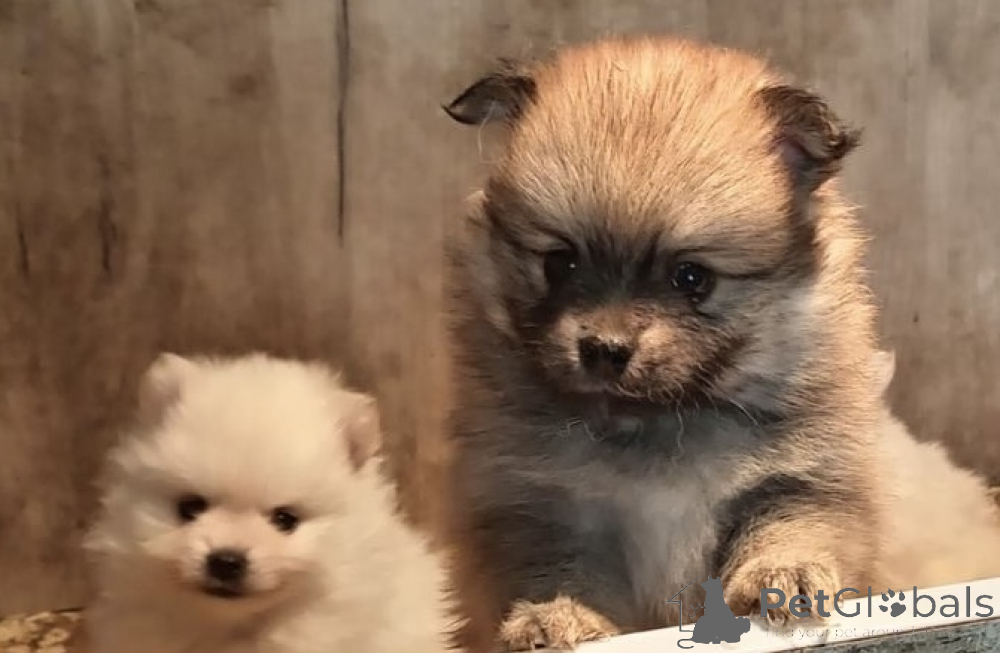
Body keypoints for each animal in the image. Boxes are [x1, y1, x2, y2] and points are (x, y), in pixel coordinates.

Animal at [442, 36, 886, 651]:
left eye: (691, 277)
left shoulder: (802, 477)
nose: (603, 348)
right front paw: (556, 617)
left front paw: (781, 577)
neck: (655, 426)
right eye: (560, 263)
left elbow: (789, 528)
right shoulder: (540, 506)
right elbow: (559, 570)